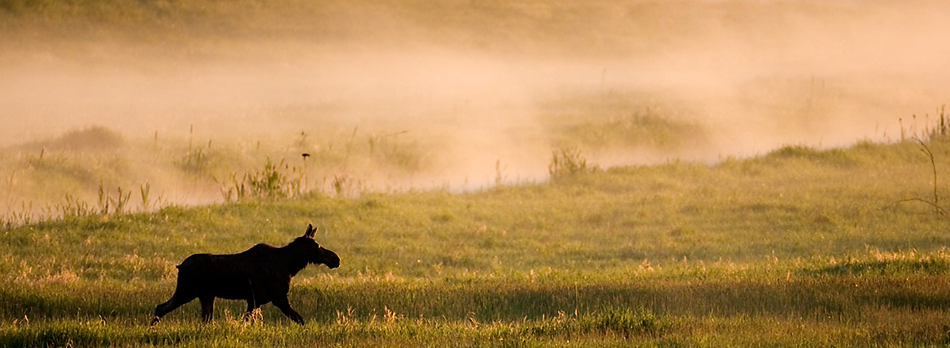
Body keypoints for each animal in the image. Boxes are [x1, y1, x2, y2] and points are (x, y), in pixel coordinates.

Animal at [151, 224, 340, 324]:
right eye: (317, 246)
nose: (335, 259)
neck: (290, 266)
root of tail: (180, 266)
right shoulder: (278, 297)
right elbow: (299, 319)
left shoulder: (255, 300)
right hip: (187, 291)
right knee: (161, 307)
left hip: (205, 295)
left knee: (198, 316)